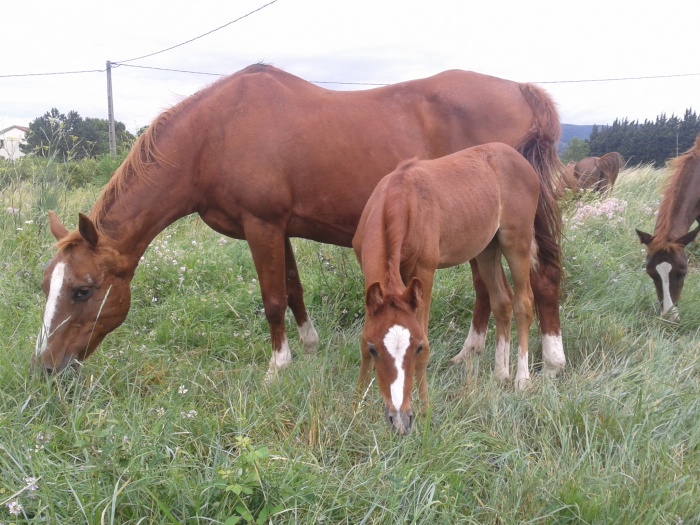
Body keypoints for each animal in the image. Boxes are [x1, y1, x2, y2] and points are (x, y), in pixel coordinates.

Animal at [35, 63, 568, 378]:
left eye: (82, 290)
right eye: (47, 285)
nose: (46, 366)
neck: (213, 135)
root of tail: (522, 91)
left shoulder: (262, 226)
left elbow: (273, 299)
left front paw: (278, 365)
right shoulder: (280, 229)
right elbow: (293, 289)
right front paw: (309, 346)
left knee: (538, 280)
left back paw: (549, 358)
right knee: (489, 290)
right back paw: (473, 354)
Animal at [356, 142, 540, 434]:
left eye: (417, 348)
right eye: (375, 349)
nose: (398, 417)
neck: (399, 201)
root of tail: (518, 157)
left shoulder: (424, 273)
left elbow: (425, 335)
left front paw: (422, 406)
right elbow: (363, 339)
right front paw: (357, 405)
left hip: (517, 241)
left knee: (523, 303)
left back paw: (522, 379)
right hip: (487, 249)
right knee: (501, 301)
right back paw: (500, 373)